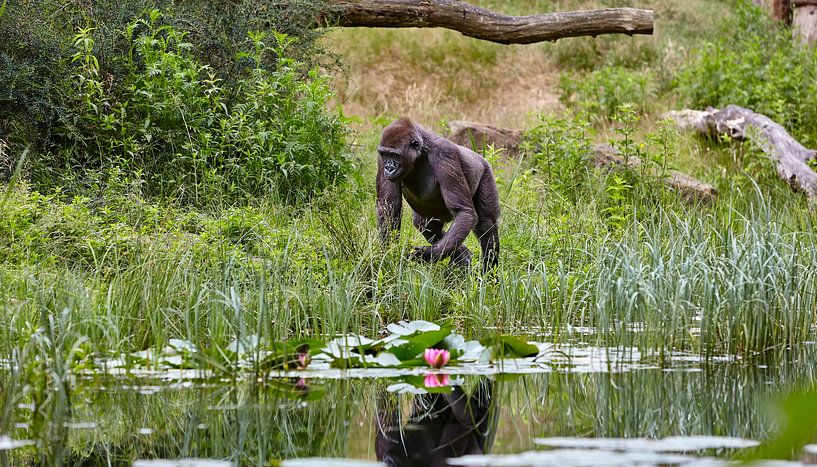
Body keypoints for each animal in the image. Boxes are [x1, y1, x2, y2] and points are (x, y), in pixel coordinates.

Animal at [376, 118, 500, 272]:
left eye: (395, 155)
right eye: (385, 154)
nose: (389, 168)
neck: (420, 153)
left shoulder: (444, 153)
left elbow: (463, 212)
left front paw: (428, 254)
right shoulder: (380, 158)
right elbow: (389, 207)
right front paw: (387, 255)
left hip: (486, 172)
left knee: (486, 224)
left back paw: (489, 272)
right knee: (424, 223)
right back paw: (463, 254)